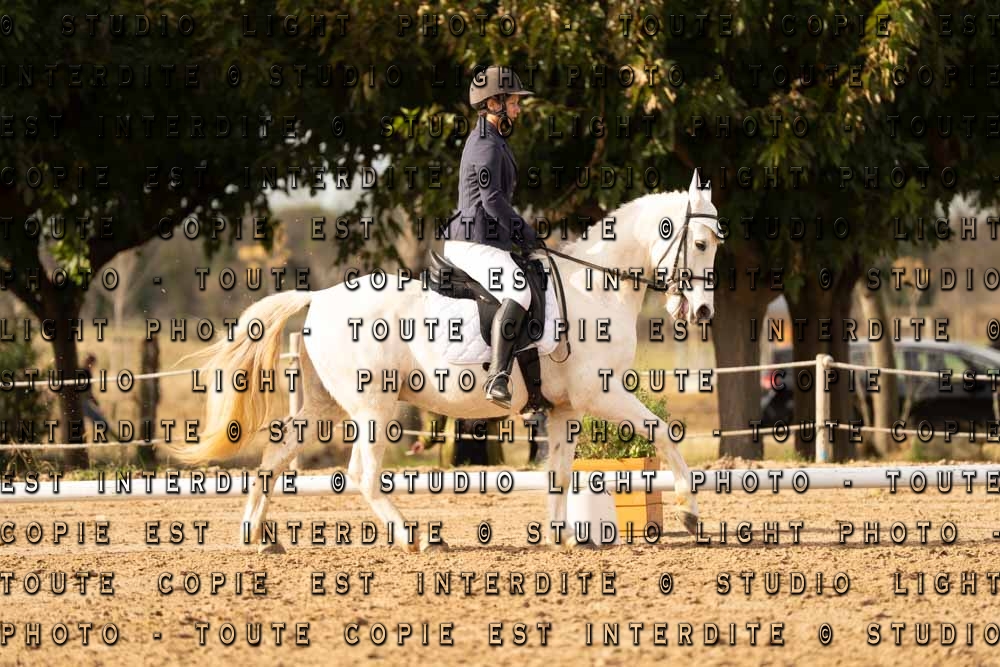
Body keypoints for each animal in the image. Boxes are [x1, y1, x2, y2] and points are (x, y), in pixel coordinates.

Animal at [169, 170, 723, 553]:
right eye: (699, 243)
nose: (701, 312)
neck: (595, 286)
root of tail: (318, 297)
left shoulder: (566, 409)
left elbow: (560, 472)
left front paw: (560, 536)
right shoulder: (602, 394)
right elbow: (663, 433)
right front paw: (691, 514)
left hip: (326, 405)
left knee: (278, 453)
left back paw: (257, 537)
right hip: (372, 408)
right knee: (362, 473)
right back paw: (414, 537)